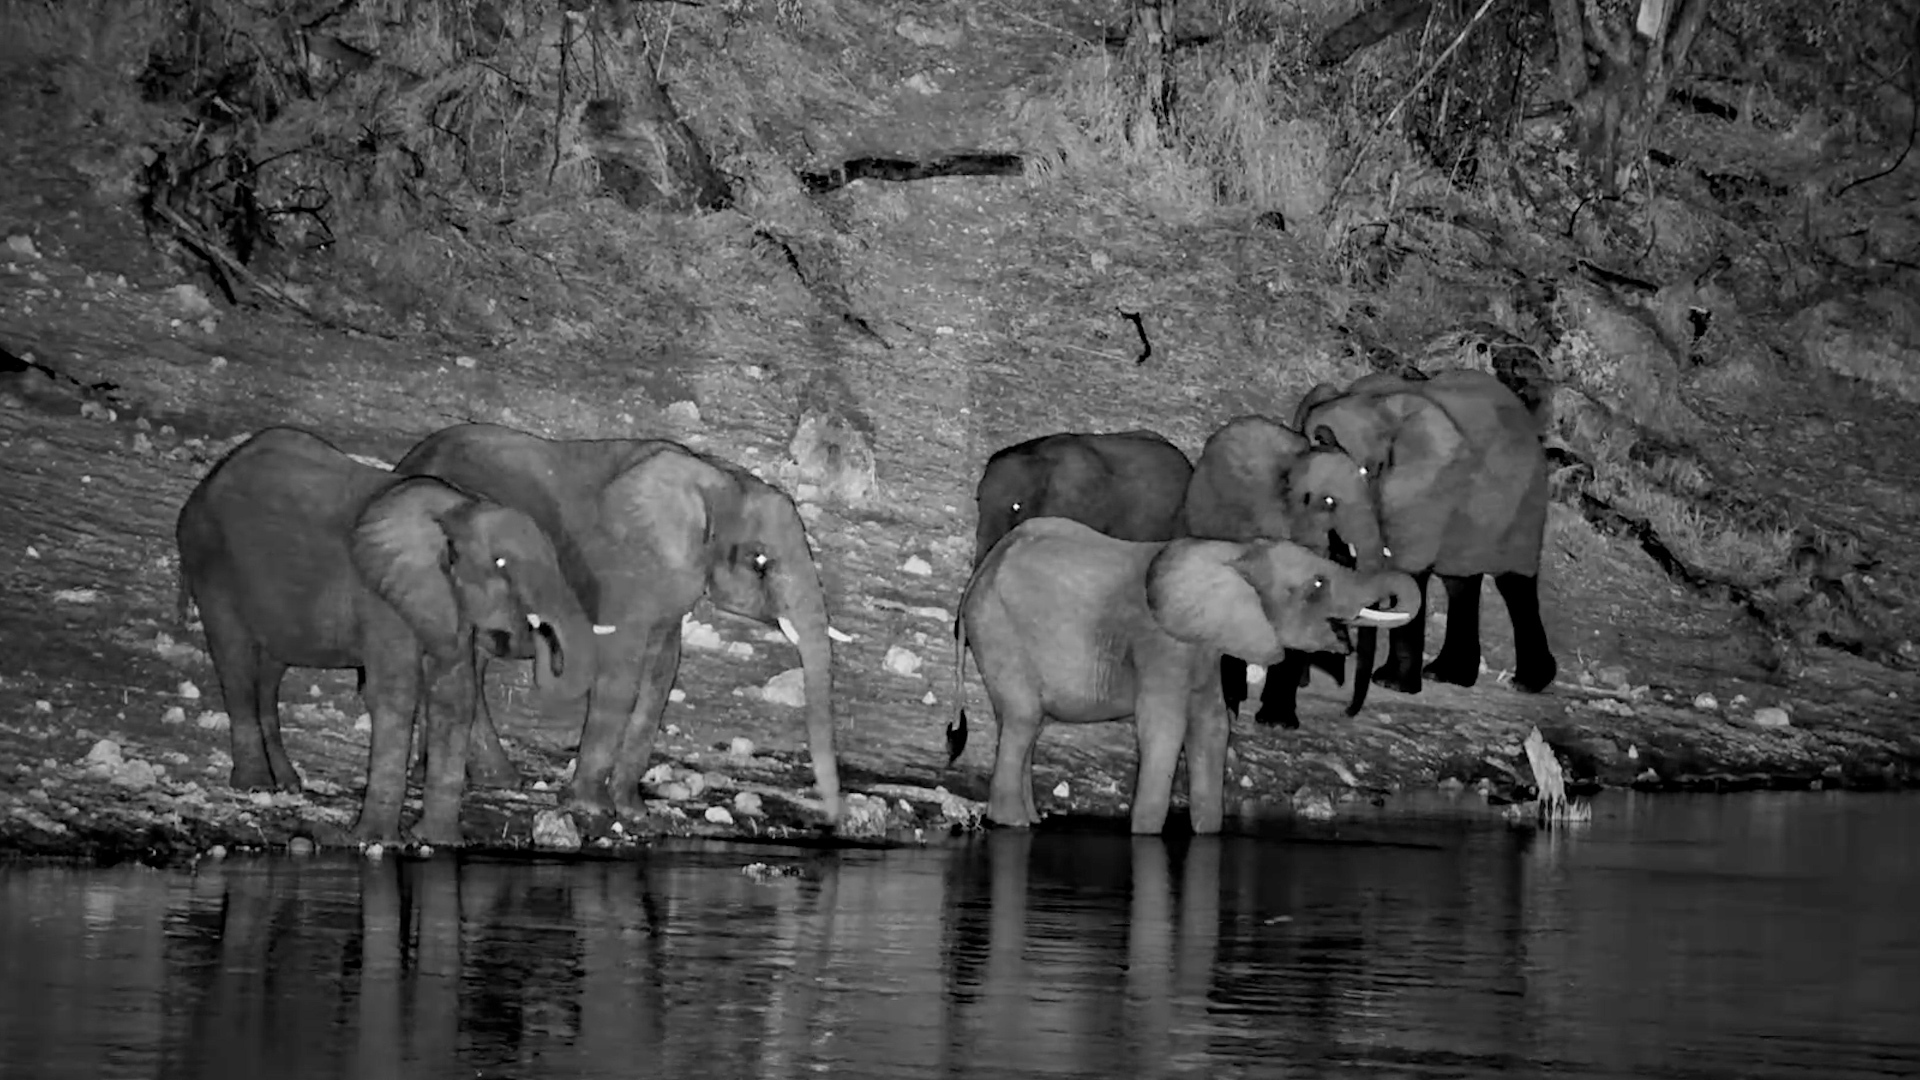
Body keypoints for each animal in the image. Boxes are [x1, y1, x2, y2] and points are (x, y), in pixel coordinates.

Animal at [175, 427, 595, 845]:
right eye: (502, 564)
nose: (532, 632)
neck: (456, 510)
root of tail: (204, 483)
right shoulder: (381, 598)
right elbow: (396, 694)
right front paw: (377, 840)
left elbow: (454, 697)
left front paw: (438, 842)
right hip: (210, 562)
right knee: (236, 664)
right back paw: (254, 785)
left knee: (269, 673)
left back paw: (287, 784)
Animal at [393, 423, 844, 825]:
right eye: (759, 562)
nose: (834, 822)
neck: (714, 479)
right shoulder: (628, 570)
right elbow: (622, 674)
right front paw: (592, 808)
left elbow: (661, 675)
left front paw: (633, 812)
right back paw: (493, 779)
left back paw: (482, 778)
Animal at [948, 517, 1419, 834]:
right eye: (1317, 585)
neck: (1233, 552)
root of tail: (977, 576)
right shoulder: (1162, 646)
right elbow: (1165, 729)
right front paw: (1144, 834)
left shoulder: (1204, 648)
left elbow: (1213, 727)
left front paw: (1207, 833)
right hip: (998, 629)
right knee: (1024, 719)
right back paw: (1012, 824)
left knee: (1028, 725)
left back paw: (1030, 819)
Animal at [1290, 367, 1558, 719]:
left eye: (1365, 471)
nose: (1348, 712)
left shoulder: (1427, 490)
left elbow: (1408, 570)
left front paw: (1391, 684)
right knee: (1461, 583)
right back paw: (1447, 675)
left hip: (1526, 504)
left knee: (1514, 584)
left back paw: (1527, 683)